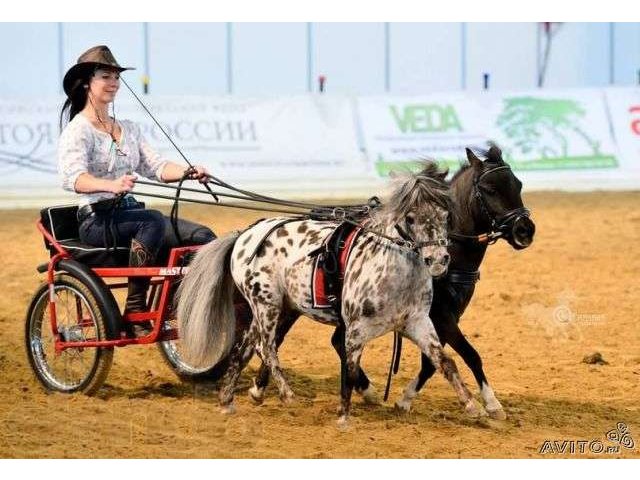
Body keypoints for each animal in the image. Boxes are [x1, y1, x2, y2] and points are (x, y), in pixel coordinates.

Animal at [175, 164, 484, 424]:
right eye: (410, 217)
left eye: (445, 215)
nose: (439, 260)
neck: (392, 268)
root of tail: (244, 235)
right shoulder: (355, 328)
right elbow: (350, 367)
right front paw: (344, 416)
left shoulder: (418, 322)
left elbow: (445, 361)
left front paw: (474, 406)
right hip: (267, 305)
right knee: (268, 348)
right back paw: (287, 395)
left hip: (267, 309)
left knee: (245, 350)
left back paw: (227, 400)